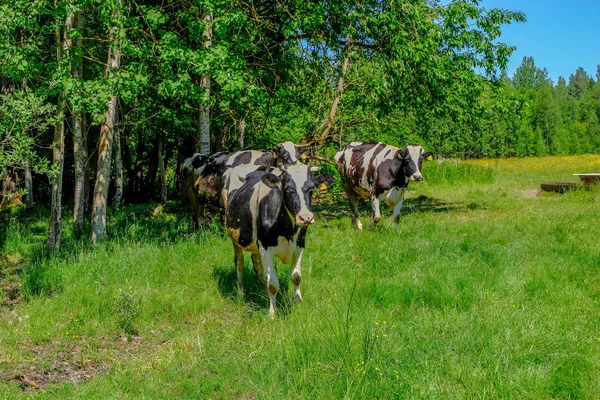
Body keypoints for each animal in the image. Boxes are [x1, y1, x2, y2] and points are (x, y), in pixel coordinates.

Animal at [226, 161, 336, 318]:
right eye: (288, 189)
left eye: (311, 189)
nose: (306, 218)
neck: (287, 230)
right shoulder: (265, 247)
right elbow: (272, 283)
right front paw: (272, 313)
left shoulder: (300, 245)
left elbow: (296, 276)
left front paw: (298, 303)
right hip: (236, 239)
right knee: (239, 262)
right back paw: (241, 291)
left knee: (256, 263)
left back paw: (262, 290)